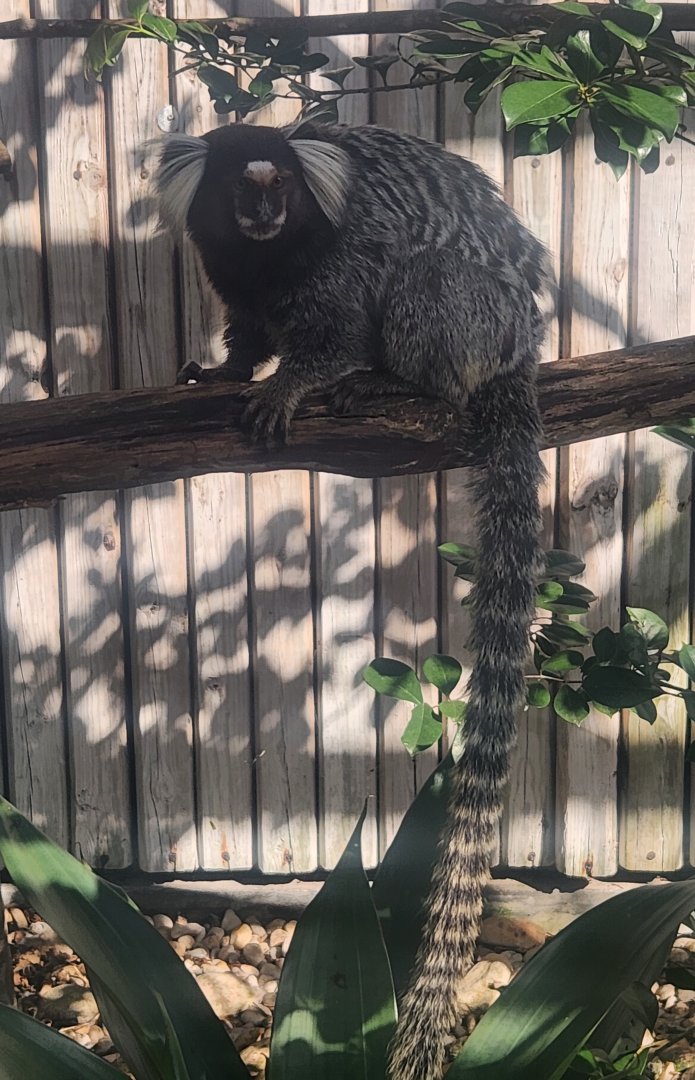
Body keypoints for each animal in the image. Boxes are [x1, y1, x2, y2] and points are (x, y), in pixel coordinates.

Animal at [155, 119, 549, 1080]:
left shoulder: (343, 260)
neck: (271, 255)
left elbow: (335, 327)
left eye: (282, 188)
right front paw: (228, 366)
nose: (262, 212)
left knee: (431, 284)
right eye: (240, 185)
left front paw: (291, 381)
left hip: (477, 321)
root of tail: (522, 348)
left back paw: (399, 383)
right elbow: (244, 326)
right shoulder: (232, 272)